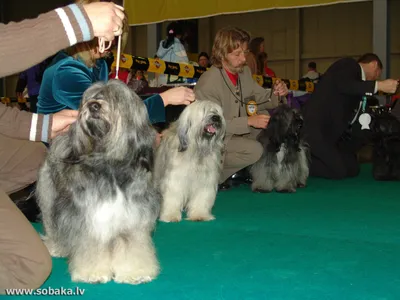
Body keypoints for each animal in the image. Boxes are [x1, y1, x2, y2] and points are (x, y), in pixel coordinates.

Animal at [36, 79, 161, 284]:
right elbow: (91, 246)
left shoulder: (132, 218)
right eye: (91, 97)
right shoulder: (89, 217)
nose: (93, 105)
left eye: (116, 98)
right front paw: (92, 273)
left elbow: (131, 246)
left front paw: (134, 272)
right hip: (50, 199)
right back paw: (57, 247)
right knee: (53, 225)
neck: (109, 165)